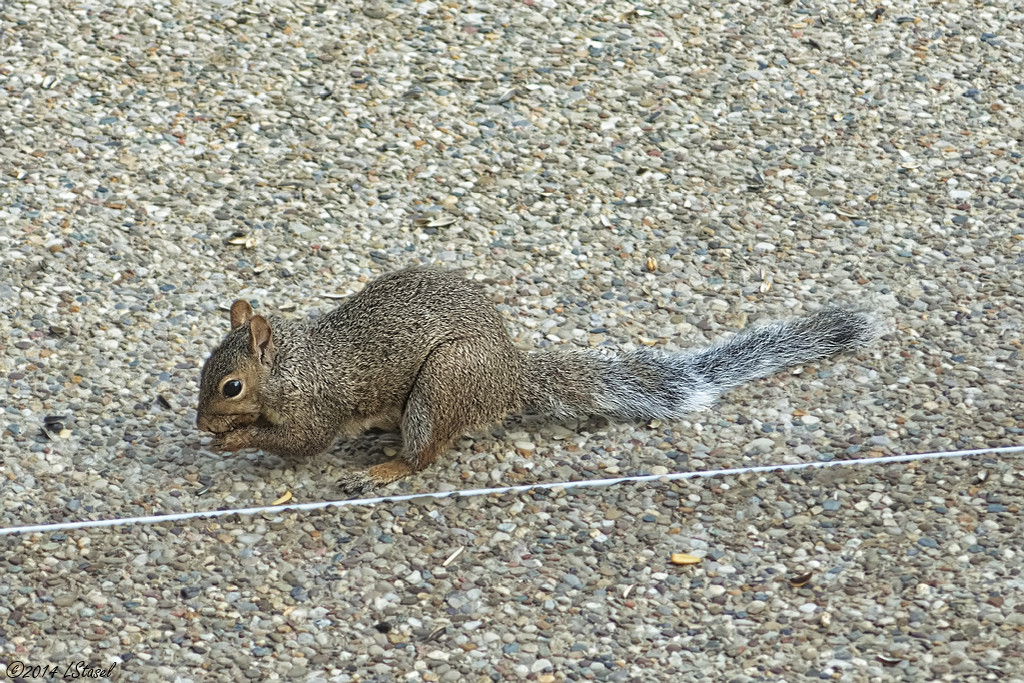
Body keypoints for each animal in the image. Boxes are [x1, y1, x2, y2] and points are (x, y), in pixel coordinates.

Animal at [195, 266, 876, 491]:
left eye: (230, 387)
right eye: (204, 370)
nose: (200, 422)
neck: (290, 366)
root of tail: (509, 376)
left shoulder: (318, 406)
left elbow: (302, 442)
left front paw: (232, 439)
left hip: (444, 383)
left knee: (426, 452)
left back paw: (385, 468)